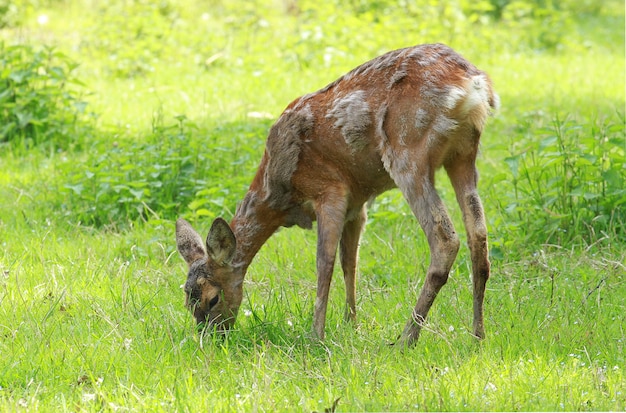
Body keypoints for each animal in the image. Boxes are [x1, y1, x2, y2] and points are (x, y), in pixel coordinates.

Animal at [174, 43, 498, 346]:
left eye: (212, 299)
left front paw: (316, 335)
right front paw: (350, 324)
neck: (279, 192)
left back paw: (406, 339)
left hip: (408, 152)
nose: (211, 339)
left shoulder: (330, 190)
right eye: (187, 301)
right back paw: (477, 335)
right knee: (478, 237)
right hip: (463, 154)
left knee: (445, 239)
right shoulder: (358, 202)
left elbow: (324, 264)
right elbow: (349, 261)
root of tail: (473, 83)